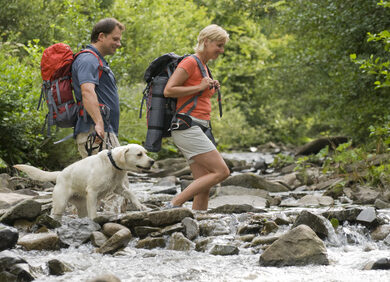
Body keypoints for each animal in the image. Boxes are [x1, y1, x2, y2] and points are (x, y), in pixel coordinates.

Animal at [14, 144, 154, 219]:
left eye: (146, 153)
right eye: (139, 154)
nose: (152, 161)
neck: (112, 164)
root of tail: (59, 174)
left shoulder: (118, 187)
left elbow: (130, 193)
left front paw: (140, 206)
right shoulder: (92, 192)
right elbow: (93, 211)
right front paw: (95, 220)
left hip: (81, 206)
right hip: (61, 203)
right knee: (56, 212)